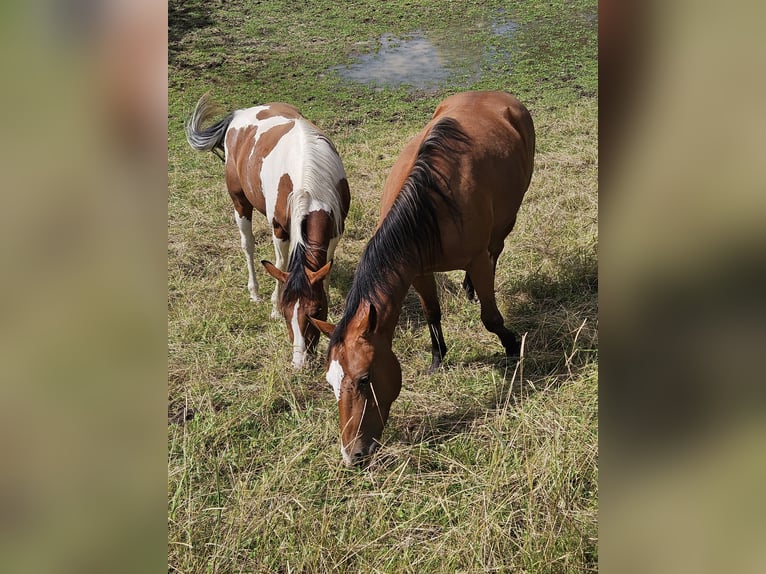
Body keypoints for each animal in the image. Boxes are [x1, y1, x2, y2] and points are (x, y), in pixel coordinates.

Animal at [185, 94, 350, 369]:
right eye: (286, 313)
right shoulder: (280, 229)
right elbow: (281, 264)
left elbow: (326, 264)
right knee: (248, 245)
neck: (309, 185)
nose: (300, 362)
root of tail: (239, 115)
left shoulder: (336, 228)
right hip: (240, 202)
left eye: (316, 311)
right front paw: (273, 304)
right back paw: (254, 292)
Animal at [311, 91, 535, 465]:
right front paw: (437, 359)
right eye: (331, 382)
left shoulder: (476, 259)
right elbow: (432, 313)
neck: (429, 205)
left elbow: (490, 317)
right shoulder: (418, 271)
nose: (351, 455)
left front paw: (511, 346)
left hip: (507, 221)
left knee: (496, 250)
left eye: (365, 379)